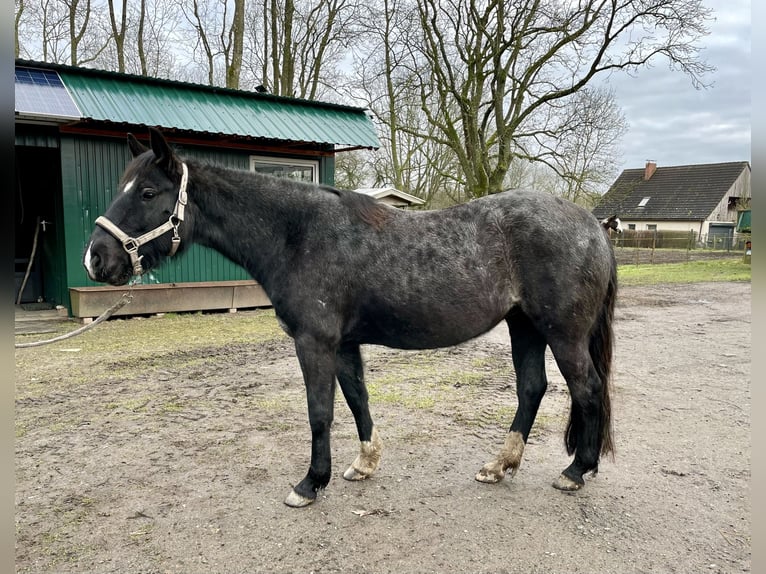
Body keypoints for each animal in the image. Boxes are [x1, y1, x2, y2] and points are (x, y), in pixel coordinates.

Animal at [84, 129, 616, 508]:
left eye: (147, 192)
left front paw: (309, 483)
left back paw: (576, 472)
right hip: (524, 326)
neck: (298, 235)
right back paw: (500, 465)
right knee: (532, 389)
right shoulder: (342, 344)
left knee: (587, 388)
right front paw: (364, 464)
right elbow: (358, 398)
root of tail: (591, 225)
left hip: (563, 334)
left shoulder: (314, 342)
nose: (96, 259)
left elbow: (320, 411)